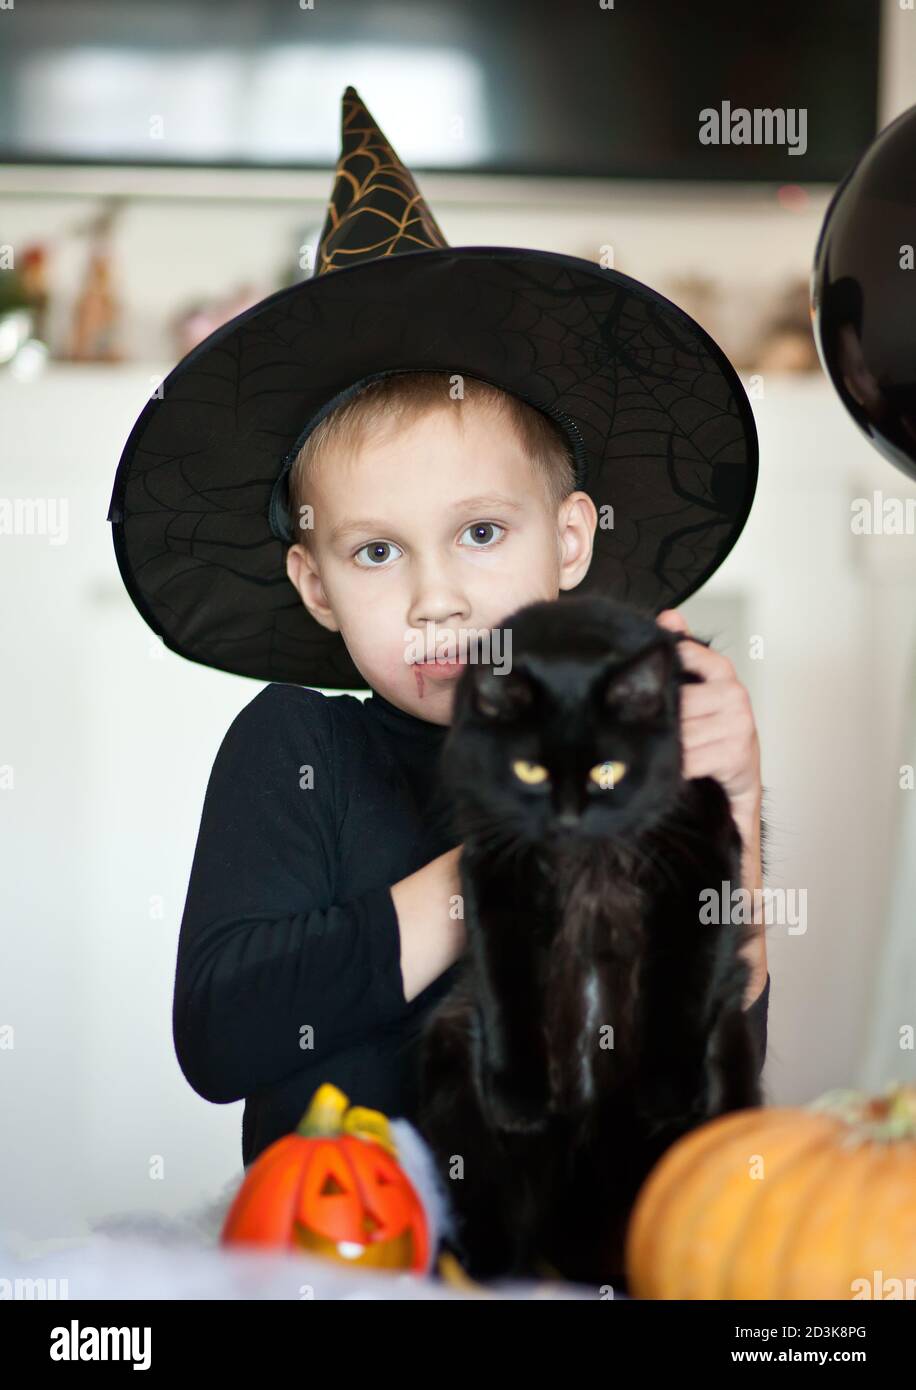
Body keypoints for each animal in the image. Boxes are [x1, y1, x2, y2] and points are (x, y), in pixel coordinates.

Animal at [416, 594, 761, 1289]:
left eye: (608, 771)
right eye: (529, 769)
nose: (569, 818)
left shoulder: (703, 859)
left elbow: (684, 983)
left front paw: (667, 1093)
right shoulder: (493, 867)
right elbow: (505, 985)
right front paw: (518, 1098)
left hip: (730, 1054)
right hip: (453, 1058)